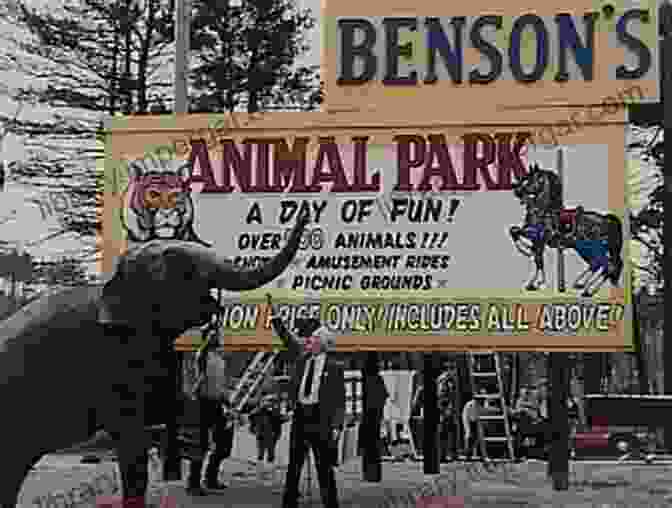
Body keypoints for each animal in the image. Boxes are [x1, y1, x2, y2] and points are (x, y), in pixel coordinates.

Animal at [510, 165, 624, 296]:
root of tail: (606, 219)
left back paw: (589, 290)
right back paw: (581, 284)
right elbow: (536, 257)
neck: (543, 211)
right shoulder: (537, 241)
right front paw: (534, 283)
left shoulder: (538, 236)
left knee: (606, 265)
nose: (517, 191)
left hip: (593, 248)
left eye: (531, 179)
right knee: (599, 264)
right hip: (585, 249)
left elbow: (520, 237)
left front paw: (527, 254)